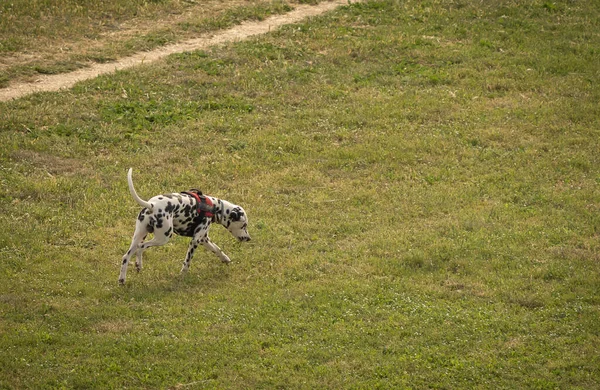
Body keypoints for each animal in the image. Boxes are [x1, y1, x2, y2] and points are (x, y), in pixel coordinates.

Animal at [119, 168, 251, 284]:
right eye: (244, 225)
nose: (249, 238)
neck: (215, 207)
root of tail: (152, 205)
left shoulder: (204, 239)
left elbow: (217, 249)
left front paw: (225, 259)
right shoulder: (195, 241)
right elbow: (187, 261)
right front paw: (183, 274)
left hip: (139, 236)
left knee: (126, 257)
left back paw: (122, 279)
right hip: (163, 238)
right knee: (141, 247)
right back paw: (138, 265)